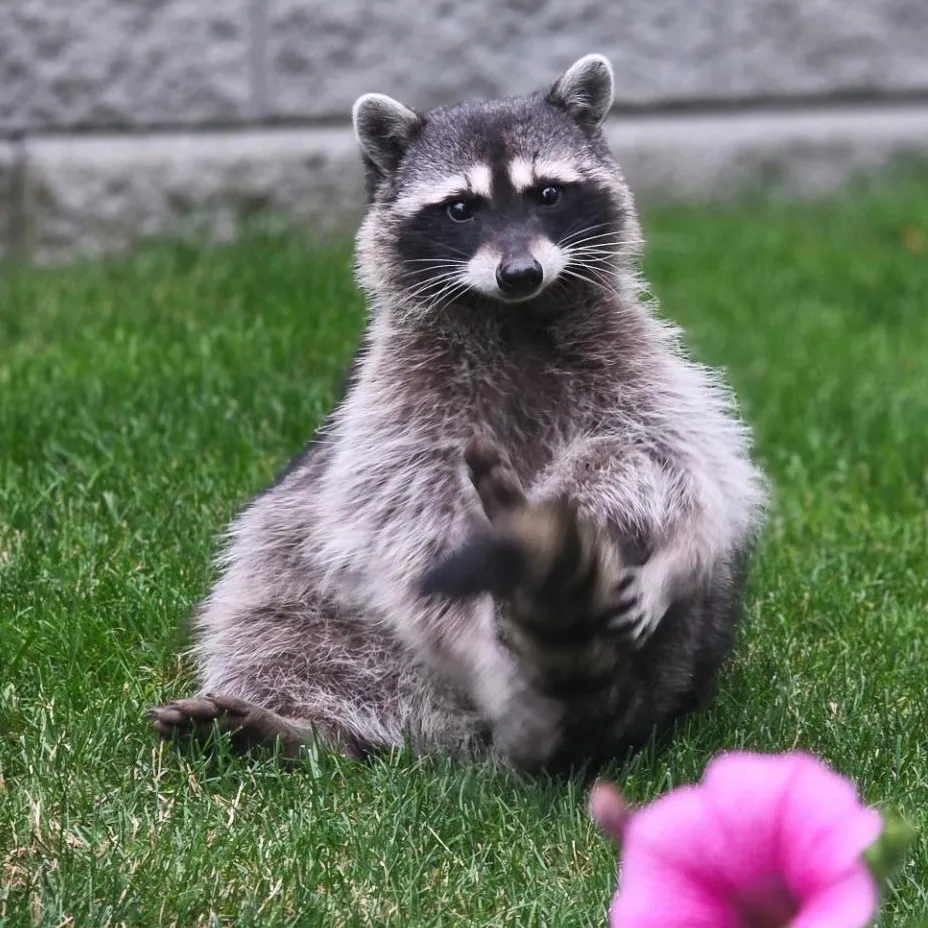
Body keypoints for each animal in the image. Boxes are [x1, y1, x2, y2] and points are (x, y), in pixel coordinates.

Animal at [147, 54, 768, 772]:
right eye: (461, 209)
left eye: (547, 194)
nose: (520, 273)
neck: (515, 316)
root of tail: (449, 740)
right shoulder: (398, 399)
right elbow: (404, 516)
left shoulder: (638, 359)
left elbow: (694, 467)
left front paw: (677, 556)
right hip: (322, 611)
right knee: (274, 615)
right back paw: (306, 728)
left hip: (681, 647)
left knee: (618, 463)